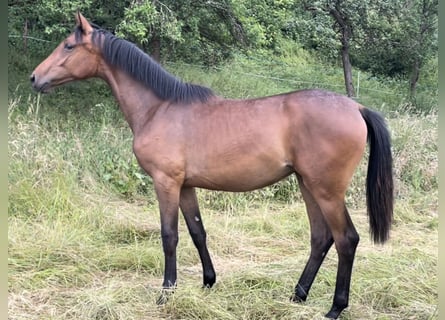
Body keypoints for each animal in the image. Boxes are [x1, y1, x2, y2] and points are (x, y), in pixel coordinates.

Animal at [30, 11, 392, 318]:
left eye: (68, 45)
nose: (35, 77)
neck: (159, 108)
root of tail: (356, 107)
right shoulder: (186, 186)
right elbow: (197, 232)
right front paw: (208, 282)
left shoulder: (165, 182)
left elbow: (169, 236)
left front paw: (166, 293)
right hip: (307, 184)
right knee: (320, 238)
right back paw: (297, 296)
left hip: (326, 189)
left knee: (346, 239)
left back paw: (335, 307)